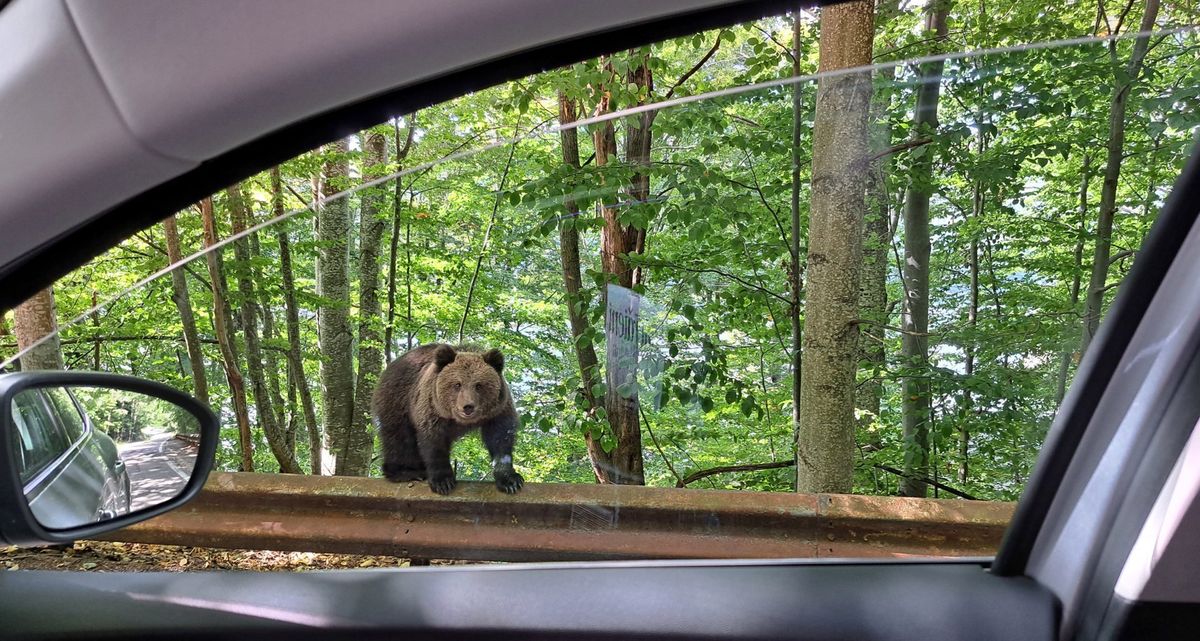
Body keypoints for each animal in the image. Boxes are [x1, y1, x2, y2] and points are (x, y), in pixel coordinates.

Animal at [371, 343, 523, 495]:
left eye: (479, 385)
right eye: (457, 384)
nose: (468, 406)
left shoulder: (498, 410)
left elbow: (500, 439)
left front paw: (510, 480)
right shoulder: (433, 409)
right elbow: (434, 442)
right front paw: (443, 482)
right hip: (398, 401)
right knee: (399, 438)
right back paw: (407, 472)